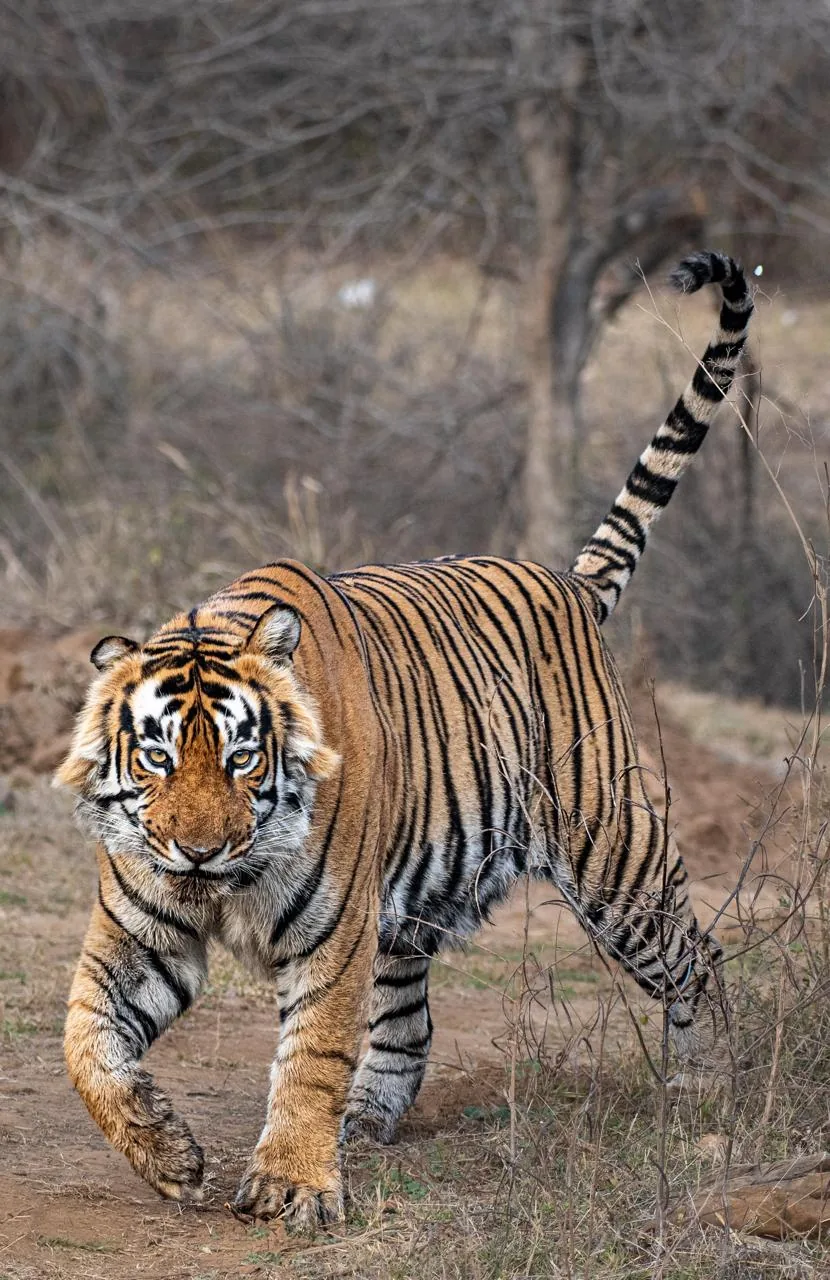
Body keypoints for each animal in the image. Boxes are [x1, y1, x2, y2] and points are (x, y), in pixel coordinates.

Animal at [56, 250, 753, 1231]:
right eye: (156, 757)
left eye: (241, 757)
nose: (197, 853)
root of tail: (568, 584)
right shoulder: (139, 929)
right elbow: (84, 1040)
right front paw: (169, 1154)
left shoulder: (330, 934)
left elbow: (310, 1054)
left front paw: (291, 1186)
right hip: (408, 910)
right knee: (406, 1023)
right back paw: (367, 1120)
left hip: (614, 860)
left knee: (698, 958)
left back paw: (706, 1091)